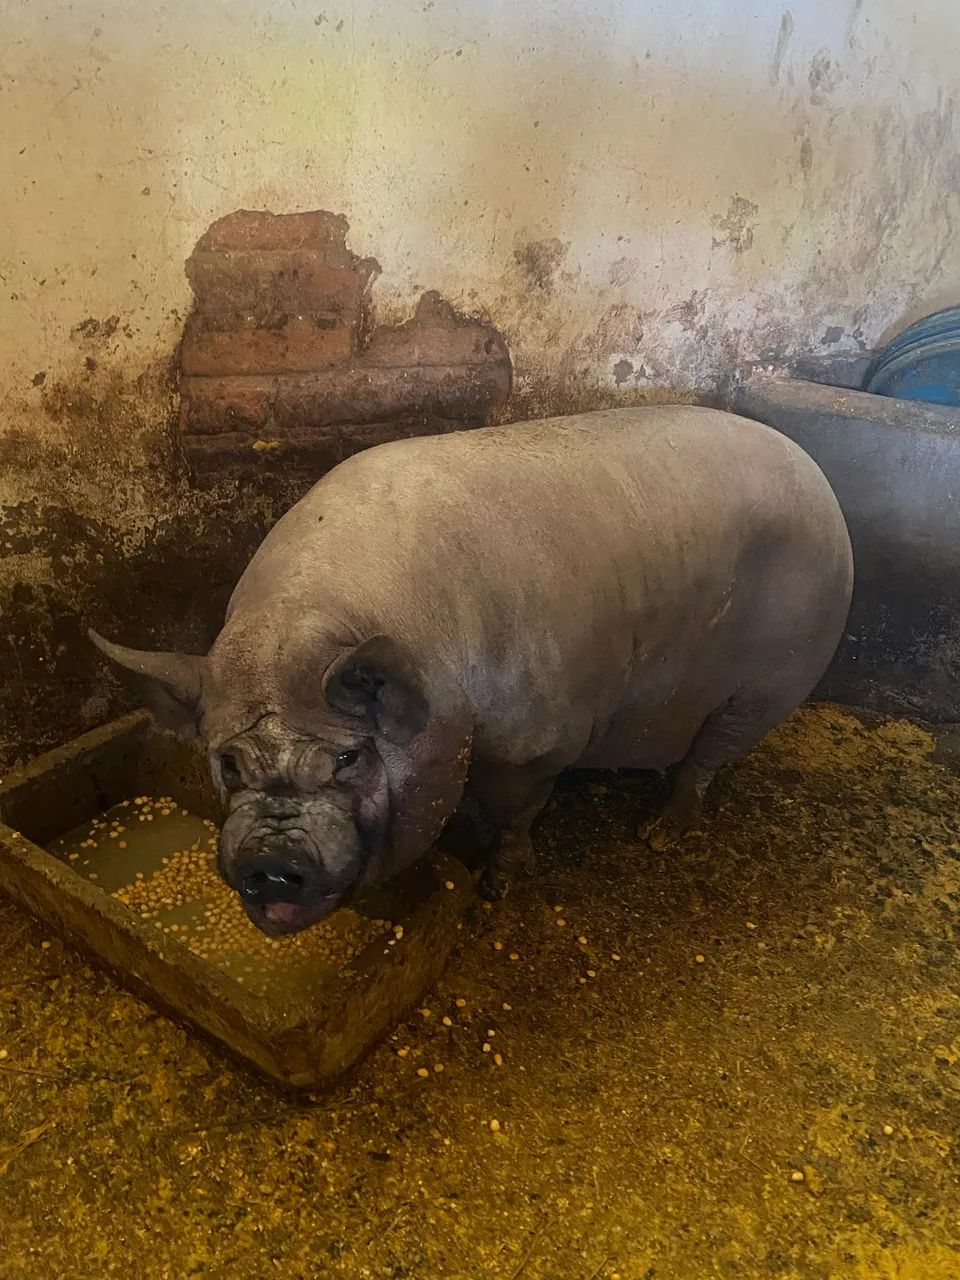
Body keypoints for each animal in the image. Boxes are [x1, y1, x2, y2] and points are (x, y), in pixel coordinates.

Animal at [90, 405, 853, 935]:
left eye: (347, 758)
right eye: (227, 763)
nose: (272, 862)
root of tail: (820, 481)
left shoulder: (534, 743)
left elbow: (517, 812)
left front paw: (498, 885)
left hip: (773, 681)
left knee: (710, 755)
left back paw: (660, 833)